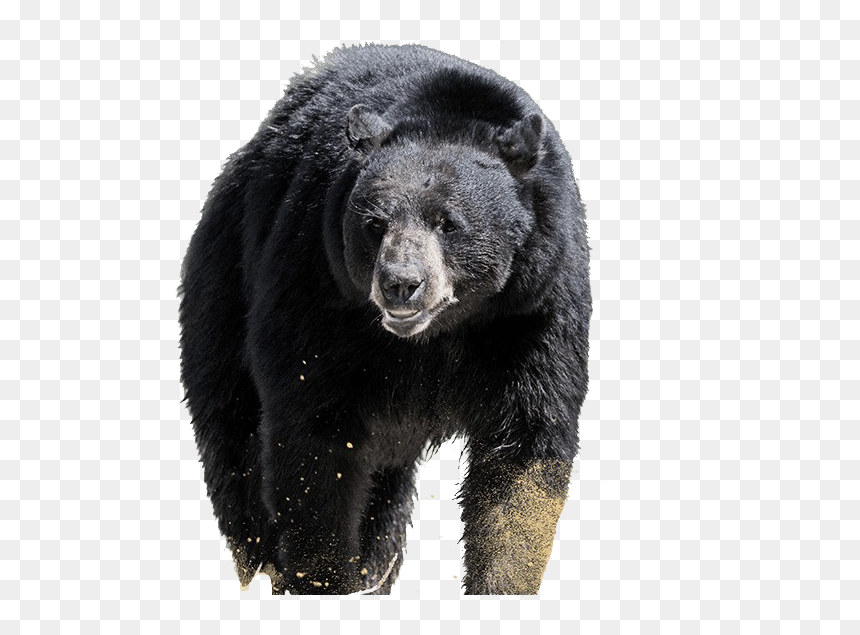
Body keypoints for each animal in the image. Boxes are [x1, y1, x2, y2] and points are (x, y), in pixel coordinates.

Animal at [179, 43, 591, 595]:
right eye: (374, 223)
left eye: (448, 222)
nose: (400, 282)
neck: (435, 336)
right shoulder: (318, 285)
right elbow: (313, 435)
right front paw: (320, 575)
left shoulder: (533, 309)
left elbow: (525, 449)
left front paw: (500, 582)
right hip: (225, 280)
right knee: (236, 443)